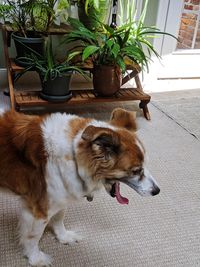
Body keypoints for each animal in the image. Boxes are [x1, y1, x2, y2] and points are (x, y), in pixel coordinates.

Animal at [0, 108, 159, 266]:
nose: (157, 191)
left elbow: (59, 219)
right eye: (136, 171)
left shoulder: (61, 197)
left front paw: (63, 237)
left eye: (145, 165)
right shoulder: (39, 210)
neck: (74, 157)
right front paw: (35, 258)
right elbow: (33, 236)